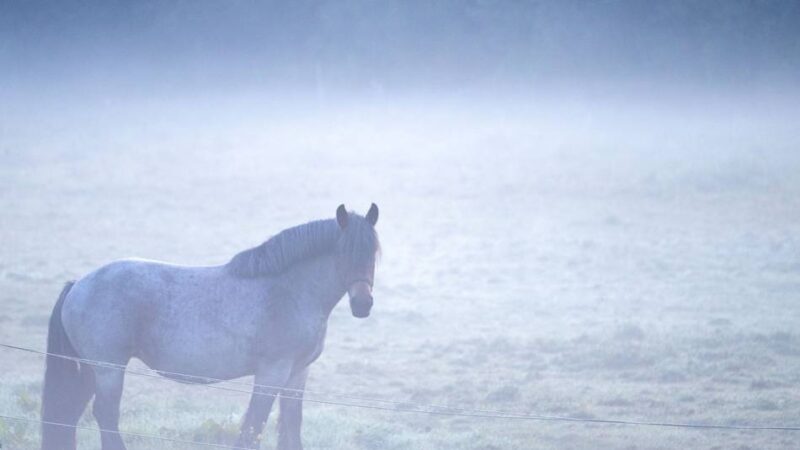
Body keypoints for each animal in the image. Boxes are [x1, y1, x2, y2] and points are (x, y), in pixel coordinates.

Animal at [41, 203, 381, 450]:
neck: (288, 290)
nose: (363, 304)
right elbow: (253, 427)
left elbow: (291, 426)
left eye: (374, 252)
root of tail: (78, 284)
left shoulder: (297, 374)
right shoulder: (271, 374)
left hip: (91, 369)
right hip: (109, 368)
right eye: (343, 253)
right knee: (106, 415)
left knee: (70, 413)